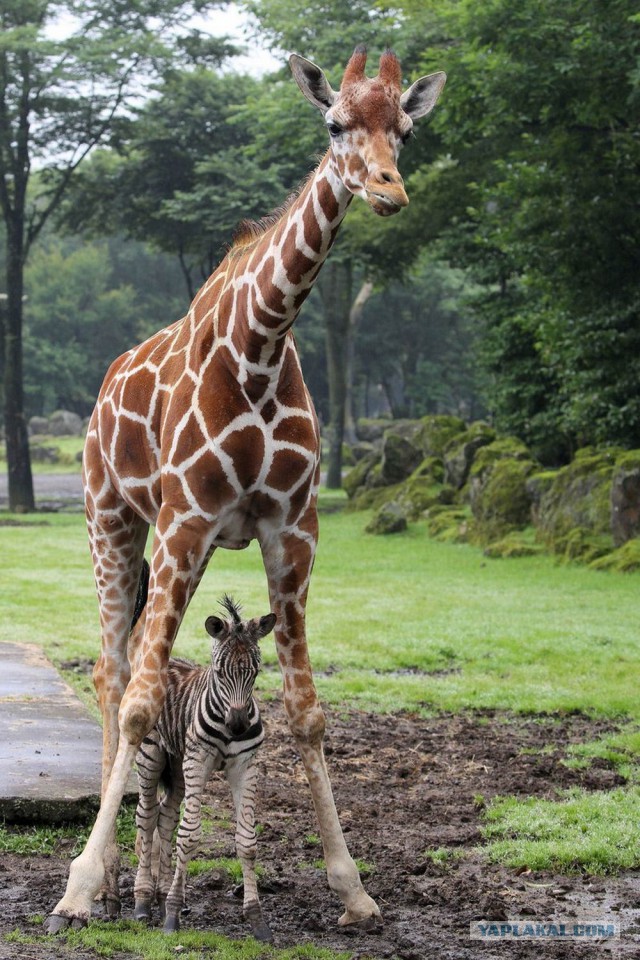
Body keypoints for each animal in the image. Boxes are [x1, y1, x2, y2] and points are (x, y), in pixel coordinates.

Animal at [132, 588, 276, 940]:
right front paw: (172, 917)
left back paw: (161, 897)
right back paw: (143, 902)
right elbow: (189, 835)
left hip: (177, 764)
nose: (238, 725)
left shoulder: (245, 765)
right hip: (152, 755)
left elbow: (247, 841)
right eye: (220, 671)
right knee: (146, 816)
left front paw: (257, 920)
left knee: (166, 817)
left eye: (255, 672)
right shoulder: (199, 760)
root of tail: (166, 660)